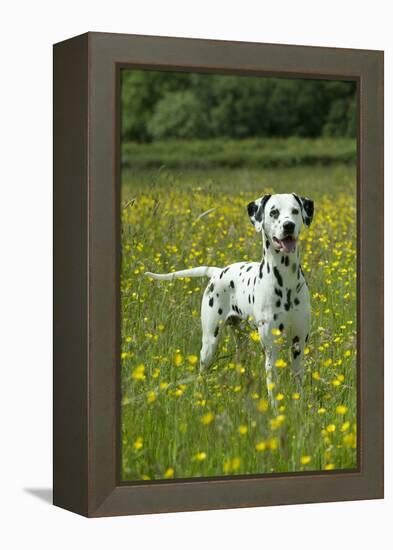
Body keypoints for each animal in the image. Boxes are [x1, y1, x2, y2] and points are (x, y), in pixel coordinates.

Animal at [145, 194, 314, 402]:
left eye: (295, 211)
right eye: (274, 212)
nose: (288, 225)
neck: (285, 281)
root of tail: (217, 271)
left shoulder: (299, 345)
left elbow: (298, 382)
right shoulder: (271, 350)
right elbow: (273, 390)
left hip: (241, 340)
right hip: (209, 343)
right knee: (202, 372)